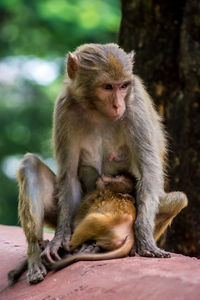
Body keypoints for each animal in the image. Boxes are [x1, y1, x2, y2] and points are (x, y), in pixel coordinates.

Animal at [15, 42, 188, 284]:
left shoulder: (135, 107)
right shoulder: (64, 107)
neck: (96, 109)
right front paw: (59, 238)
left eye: (123, 86)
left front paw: (144, 237)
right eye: (107, 87)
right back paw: (34, 255)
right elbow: (69, 176)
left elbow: (149, 173)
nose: (117, 105)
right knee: (30, 164)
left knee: (177, 198)